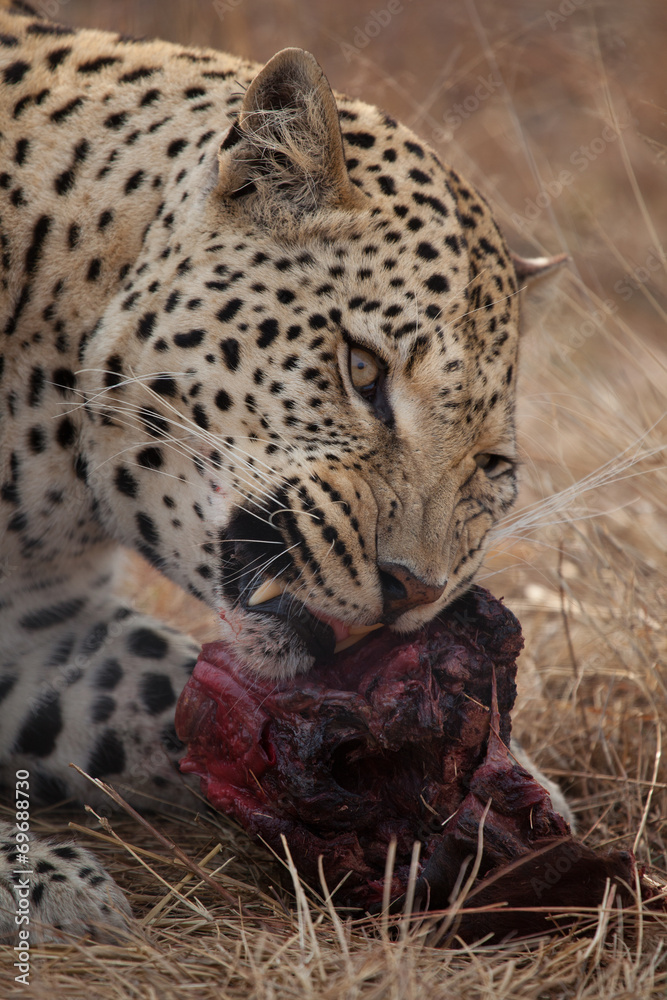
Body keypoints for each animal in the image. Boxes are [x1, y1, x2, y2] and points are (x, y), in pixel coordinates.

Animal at [0, 0, 565, 944]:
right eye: (362, 370)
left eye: (490, 466)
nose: (413, 589)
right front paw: (52, 882)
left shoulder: (46, 631)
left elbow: (177, 688)